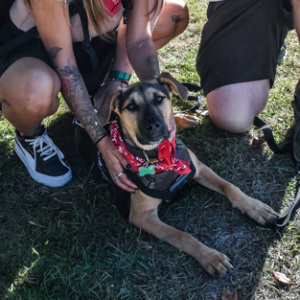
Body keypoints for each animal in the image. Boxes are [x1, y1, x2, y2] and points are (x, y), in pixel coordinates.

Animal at [97, 73, 278, 276]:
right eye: (131, 107)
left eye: (158, 98)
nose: (153, 125)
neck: (161, 157)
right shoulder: (142, 216)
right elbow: (181, 235)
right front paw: (210, 256)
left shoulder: (198, 168)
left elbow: (230, 186)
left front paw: (256, 208)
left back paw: (183, 119)